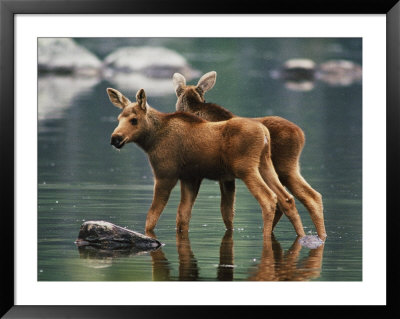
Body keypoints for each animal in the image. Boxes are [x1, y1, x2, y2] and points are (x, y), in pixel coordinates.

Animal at [106, 87, 304, 238]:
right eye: (118, 119)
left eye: (134, 120)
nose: (115, 138)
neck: (151, 140)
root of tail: (264, 133)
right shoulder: (190, 178)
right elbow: (182, 217)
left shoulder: (165, 175)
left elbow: (151, 218)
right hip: (265, 164)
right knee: (287, 198)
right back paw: (303, 236)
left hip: (246, 169)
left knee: (269, 198)